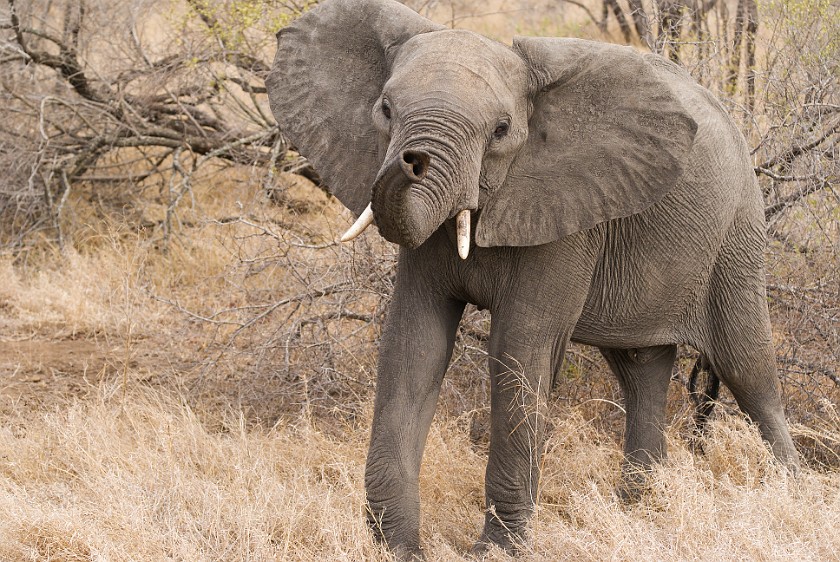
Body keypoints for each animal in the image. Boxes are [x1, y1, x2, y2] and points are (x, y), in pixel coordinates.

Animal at [270, 0, 800, 552]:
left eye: (501, 130)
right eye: (386, 110)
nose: (412, 160)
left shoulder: (567, 215)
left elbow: (520, 349)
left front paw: (495, 552)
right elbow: (414, 342)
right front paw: (398, 549)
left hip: (738, 232)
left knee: (749, 369)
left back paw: (790, 491)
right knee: (641, 369)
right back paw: (640, 508)